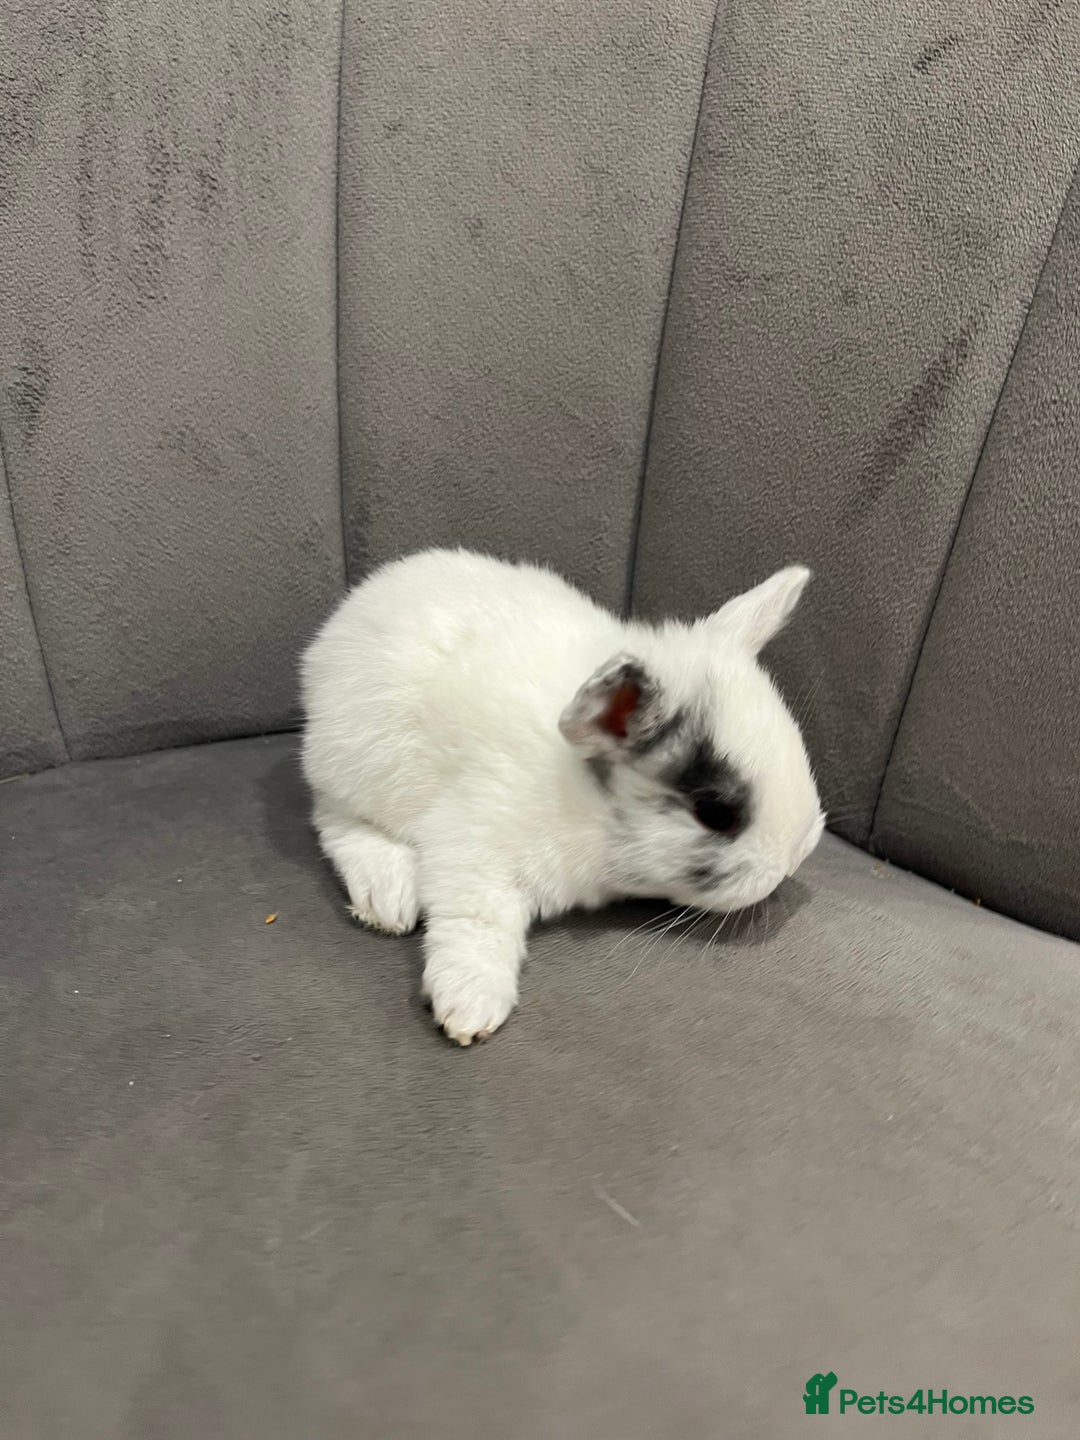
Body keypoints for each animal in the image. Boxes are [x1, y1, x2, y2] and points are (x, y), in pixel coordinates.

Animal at [300, 548, 824, 1045]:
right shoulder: (473, 844)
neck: (587, 803)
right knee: (333, 818)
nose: (793, 861)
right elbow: (477, 922)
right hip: (361, 768)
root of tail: (337, 629)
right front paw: (470, 1007)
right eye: (715, 812)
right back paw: (385, 898)